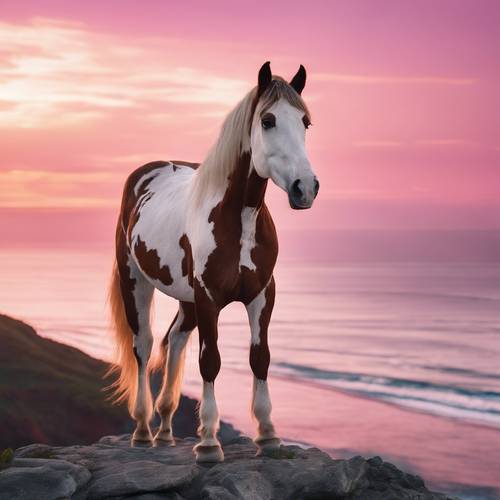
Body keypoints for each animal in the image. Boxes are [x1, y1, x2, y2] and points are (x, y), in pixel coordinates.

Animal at [109, 61, 320, 460]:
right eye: (268, 120)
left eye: (306, 122)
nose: (306, 188)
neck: (238, 219)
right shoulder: (208, 298)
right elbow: (210, 361)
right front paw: (208, 442)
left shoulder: (261, 295)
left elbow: (260, 358)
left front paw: (268, 434)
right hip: (136, 282)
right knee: (144, 345)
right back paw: (143, 429)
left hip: (186, 298)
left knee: (175, 340)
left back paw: (165, 429)